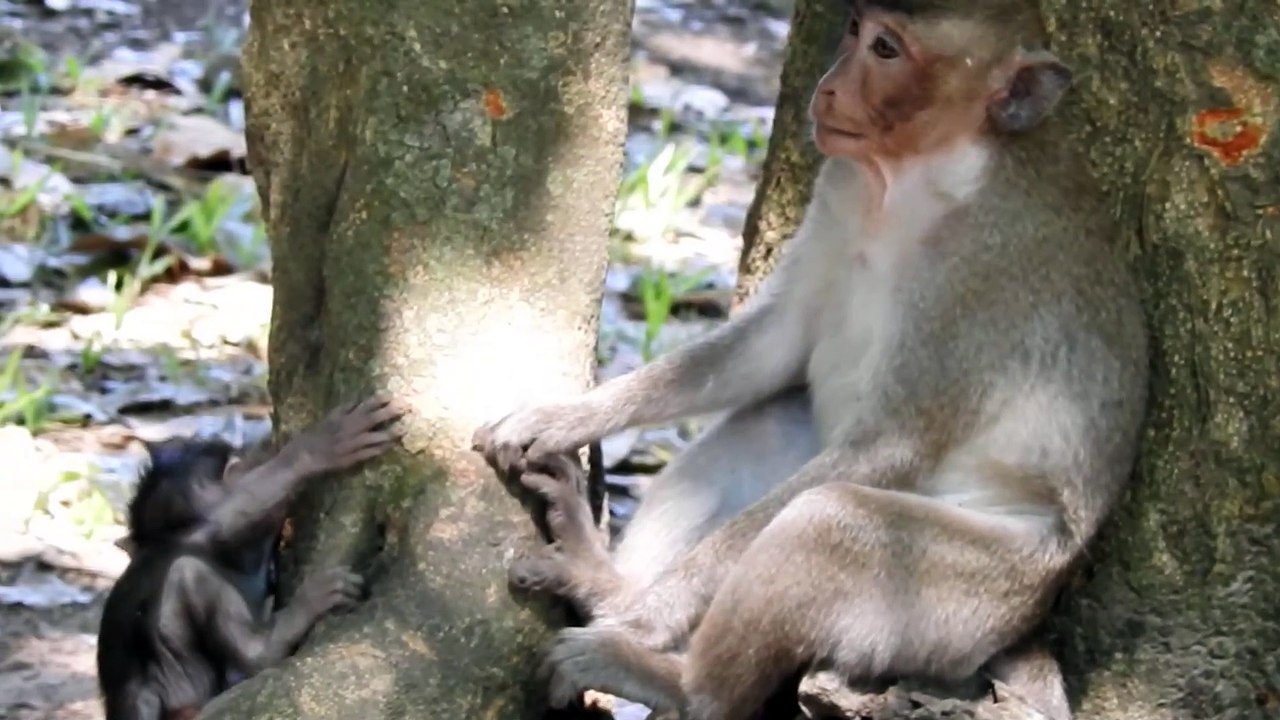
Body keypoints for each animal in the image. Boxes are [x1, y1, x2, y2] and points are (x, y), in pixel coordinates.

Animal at [472, 0, 1149, 718]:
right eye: (857, 29)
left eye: (886, 50)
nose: (828, 87)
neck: (911, 181)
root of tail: (1024, 624)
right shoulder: (839, 187)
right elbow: (773, 345)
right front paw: (565, 416)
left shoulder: (978, 278)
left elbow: (888, 445)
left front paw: (648, 618)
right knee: (769, 421)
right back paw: (604, 580)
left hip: (972, 597)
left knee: (826, 520)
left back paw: (669, 672)